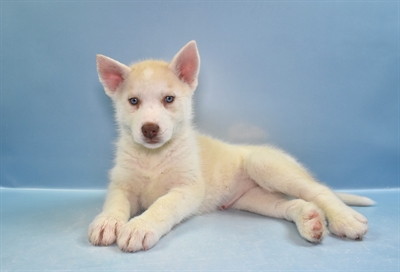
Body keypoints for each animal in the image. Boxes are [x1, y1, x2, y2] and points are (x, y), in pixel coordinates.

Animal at [89, 41, 374, 253]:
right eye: (133, 101)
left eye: (168, 99)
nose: (149, 129)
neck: (152, 156)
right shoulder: (122, 185)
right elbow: (114, 203)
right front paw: (107, 223)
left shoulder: (187, 189)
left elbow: (162, 205)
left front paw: (140, 226)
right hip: (254, 200)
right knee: (291, 204)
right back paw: (310, 221)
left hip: (266, 166)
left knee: (319, 190)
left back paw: (345, 219)